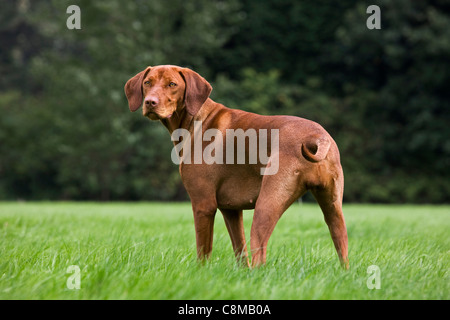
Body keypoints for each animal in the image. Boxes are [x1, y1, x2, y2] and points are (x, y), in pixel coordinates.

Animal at [125, 64, 350, 268]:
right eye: (147, 83)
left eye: (172, 84)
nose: (150, 102)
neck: (195, 120)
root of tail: (317, 137)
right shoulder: (230, 209)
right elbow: (240, 251)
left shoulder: (203, 204)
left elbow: (203, 251)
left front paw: (200, 274)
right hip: (333, 209)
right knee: (342, 246)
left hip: (266, 206)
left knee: (260, 256)